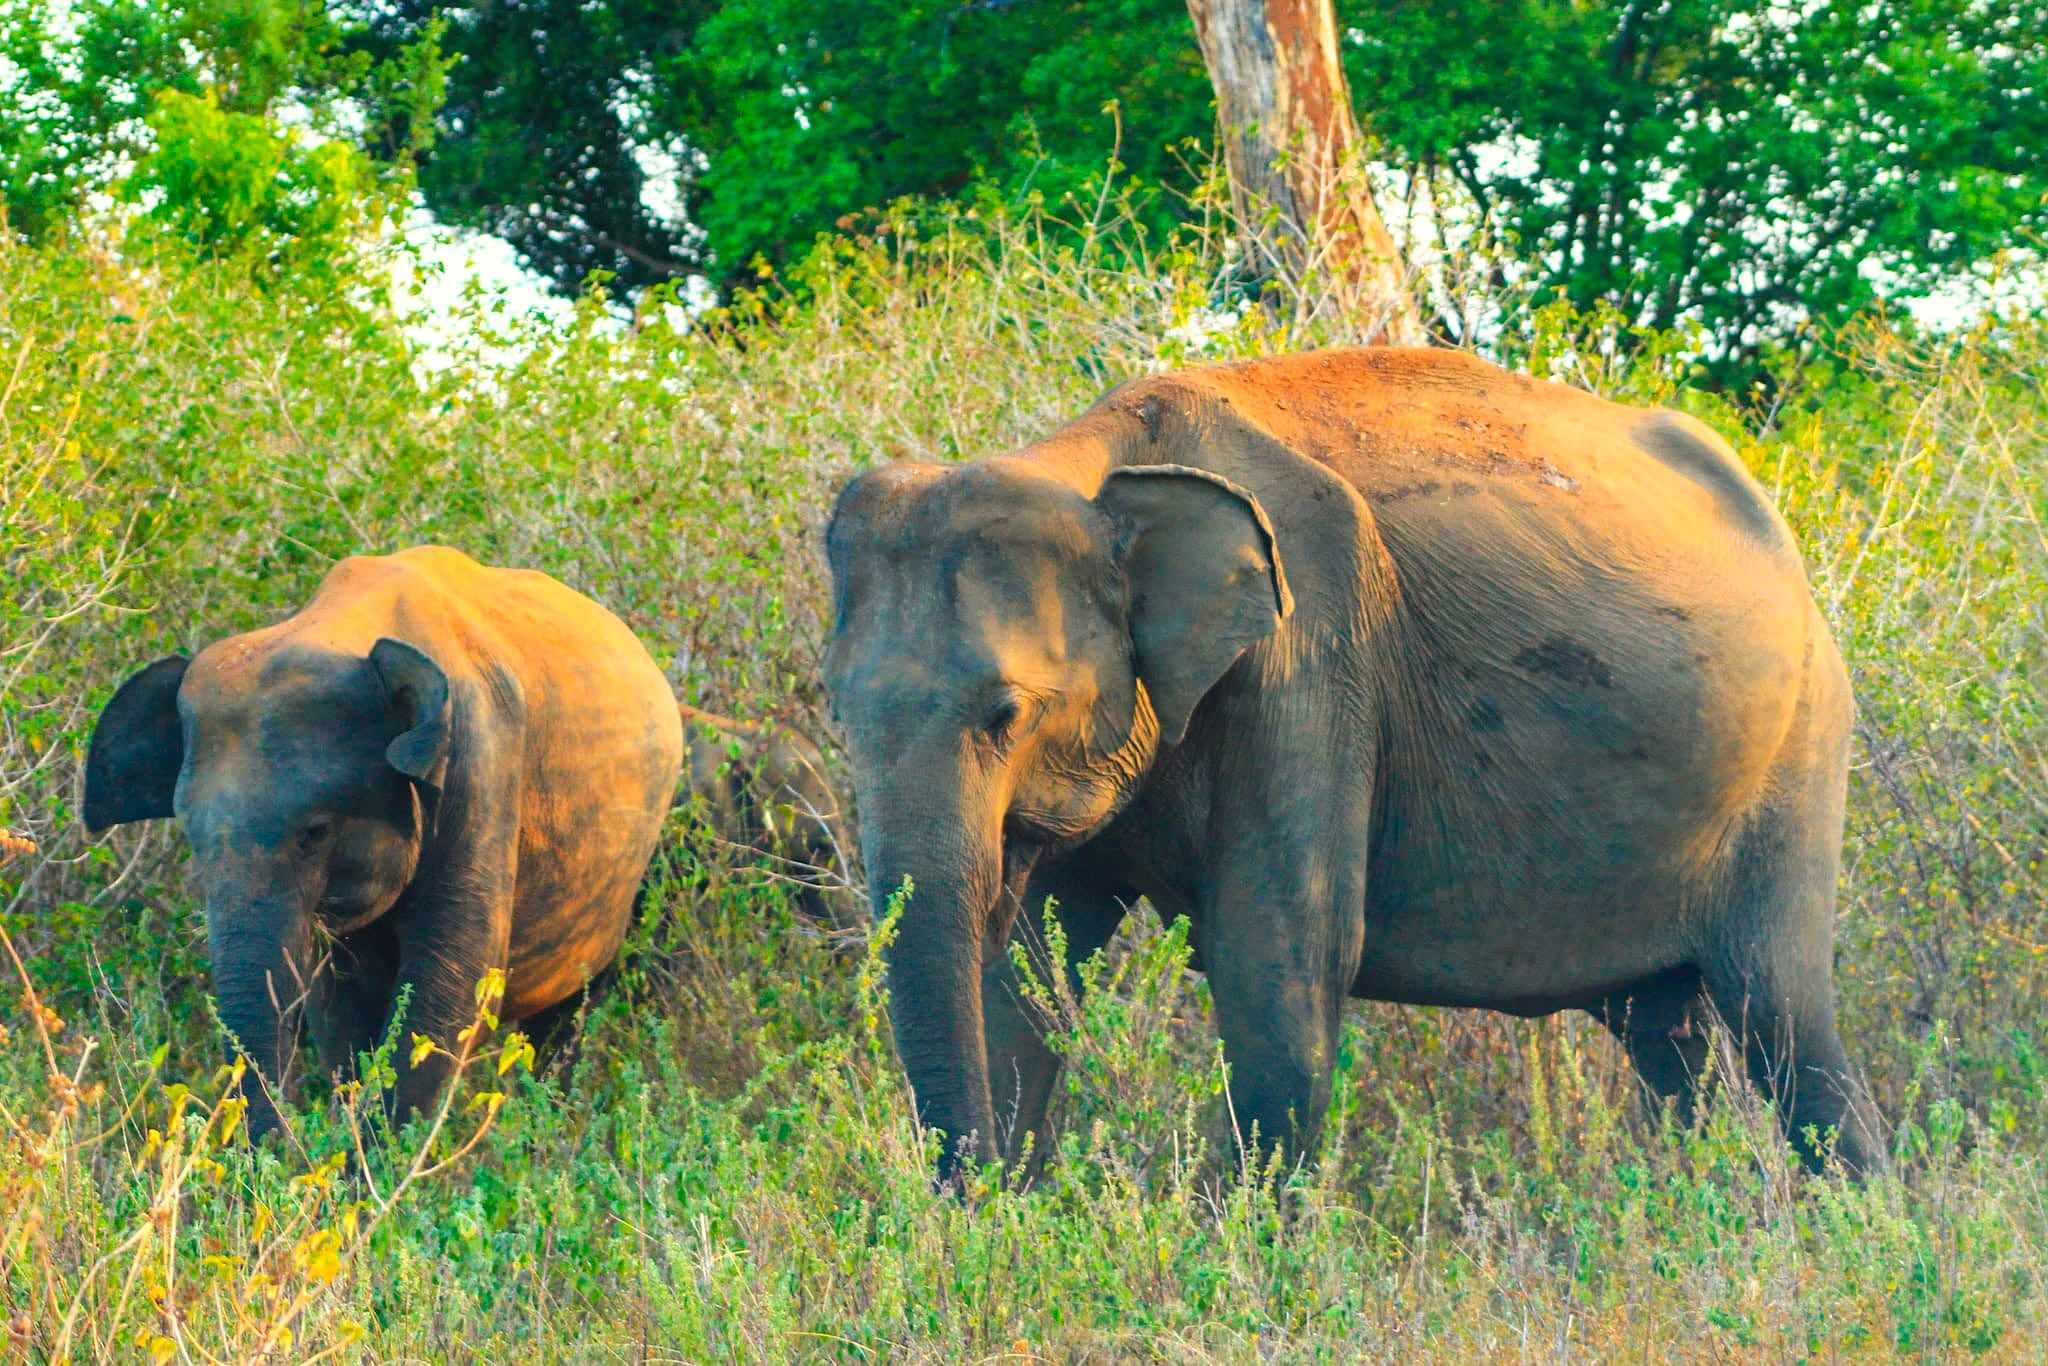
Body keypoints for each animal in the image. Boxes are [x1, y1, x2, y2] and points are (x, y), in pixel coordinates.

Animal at [84, 546, 683, 1137]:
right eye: (191, 834)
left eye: (317, 833)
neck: (341, 628)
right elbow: (342, 1004)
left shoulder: (480, 763)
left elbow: (451, 980)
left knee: (569, 1016)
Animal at [822, 346, 1885, 1185]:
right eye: (837, 710)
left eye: (1005, 715)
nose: (972, 1206)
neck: (1093, 461)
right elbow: (1027, 988)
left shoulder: (1310, 657)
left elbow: (1281, 974)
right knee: (1666, 1037)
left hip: (1798, 756)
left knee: (1786, 1021)